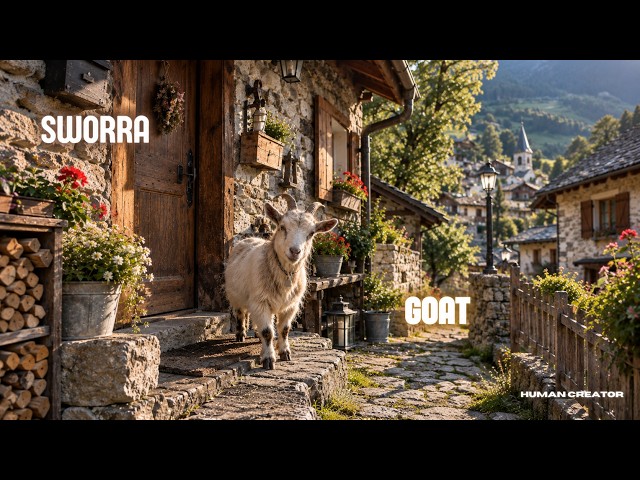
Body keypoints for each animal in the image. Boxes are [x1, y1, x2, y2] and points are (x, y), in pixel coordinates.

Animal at [225, 194, 338, 369]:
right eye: (282, 227)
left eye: (311, 233)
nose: (295, 251)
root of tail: (249, 239)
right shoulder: (260, 301)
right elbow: (268, 332)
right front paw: (269, 359)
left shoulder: (291, 305)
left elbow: (284, 329)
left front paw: (285, 352)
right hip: (236, 295)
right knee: (241, 313)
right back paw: (240, 334)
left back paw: (255, 334)